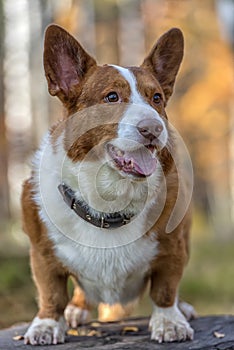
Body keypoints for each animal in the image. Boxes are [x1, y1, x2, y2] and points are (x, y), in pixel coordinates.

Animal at [22, 23, 195, 344]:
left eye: (157, 98)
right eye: (112, 97)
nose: (153, 128)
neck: (110, 199)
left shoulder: (173, 247)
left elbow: (165, 288)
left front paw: (169, 322)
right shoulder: (41, 253)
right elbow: (50, 293)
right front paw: (46, 325)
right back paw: (76, 310)